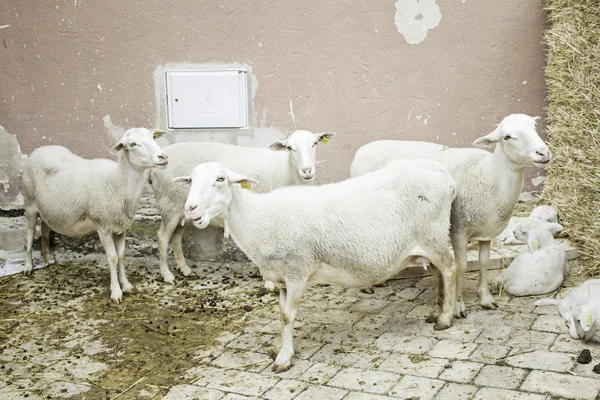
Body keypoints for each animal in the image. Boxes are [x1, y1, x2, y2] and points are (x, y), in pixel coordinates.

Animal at [22, 130, 168, 302]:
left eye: (153, 137)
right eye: (132, 144)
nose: (163, 157)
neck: (118, 182)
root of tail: (41, 149)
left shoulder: (121, 227)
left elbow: (121, 256)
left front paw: (126, 285)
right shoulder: (103, 226)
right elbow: (113, 258)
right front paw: (116, 292)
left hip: (48, 208)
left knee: (45, 226)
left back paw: (48, 257)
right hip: (30, 203)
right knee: (30, 233)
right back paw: (28, 266)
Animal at [148, 131, 336, 284]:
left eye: (315, 143)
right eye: (290, 148)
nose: (307, 170)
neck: (287, 170)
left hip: (185, 209)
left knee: (176, 237)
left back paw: (185, 269)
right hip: (169, 205)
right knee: (163, 237)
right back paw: (167, 275)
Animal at [173, 159, 460, 372]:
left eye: (220, 179)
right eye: (190, 180)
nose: (190, 209)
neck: (259, 220)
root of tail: (446, 176)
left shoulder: (297, 271)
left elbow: (288, 316)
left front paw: (283, 359)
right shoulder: (281, 278)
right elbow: (282, 314)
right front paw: (286, 350)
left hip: (433, 235)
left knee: (449, 269)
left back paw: (446, 317)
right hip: (430, 240)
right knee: (439, 272)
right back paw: (436, 311)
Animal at [352, 114, 552, 318]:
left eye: (534, 127)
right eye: (507, 137)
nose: (543, 153)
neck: (490, 175)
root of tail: (363, 149)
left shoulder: (486, 233)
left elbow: (484, 262)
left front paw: (486, 298)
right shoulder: (459, 230)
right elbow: (461, 266)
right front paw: (458, 305)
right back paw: (367, 286)